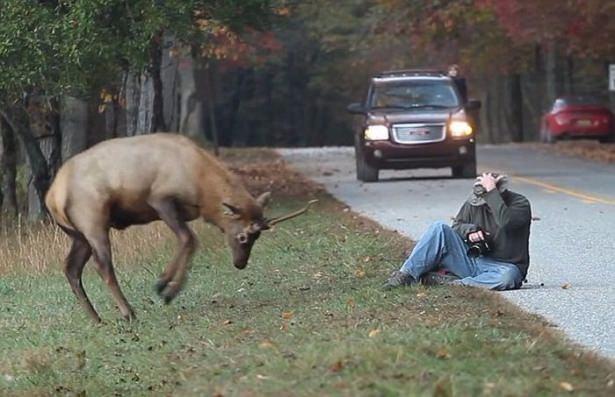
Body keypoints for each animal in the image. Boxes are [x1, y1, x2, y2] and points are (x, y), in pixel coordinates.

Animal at [47, 133, 318, 322]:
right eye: (243, 236)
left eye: (257, 237)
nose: (240, 263)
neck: (202, 188)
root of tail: (53, 197)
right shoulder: (160, 199)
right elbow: (189, 239)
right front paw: (165, 287)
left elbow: (188, 241)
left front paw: (167, 287)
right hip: (93, 221)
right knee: (103, 265)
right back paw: (128, 313)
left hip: (78, 234)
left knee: (71, 268)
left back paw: (96, 318)